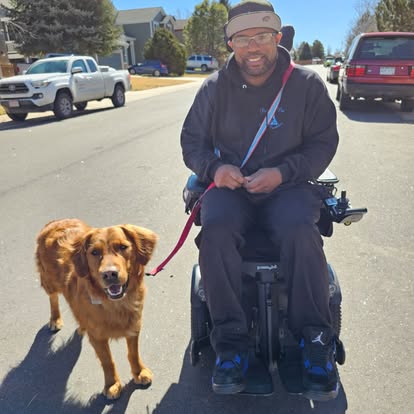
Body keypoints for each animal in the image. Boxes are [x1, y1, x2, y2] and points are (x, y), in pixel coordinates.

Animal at [35, 218, 157, 399]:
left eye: (123, 247)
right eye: (94, 252)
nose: (109, 274)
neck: (115, 304)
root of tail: (55, 222)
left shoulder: (134, 325)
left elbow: (133, 353)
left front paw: (139, 372)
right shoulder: (98, 337)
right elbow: (107, 361)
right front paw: (112, 384)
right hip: (49, 280)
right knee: (53, 297)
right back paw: (55, 318)